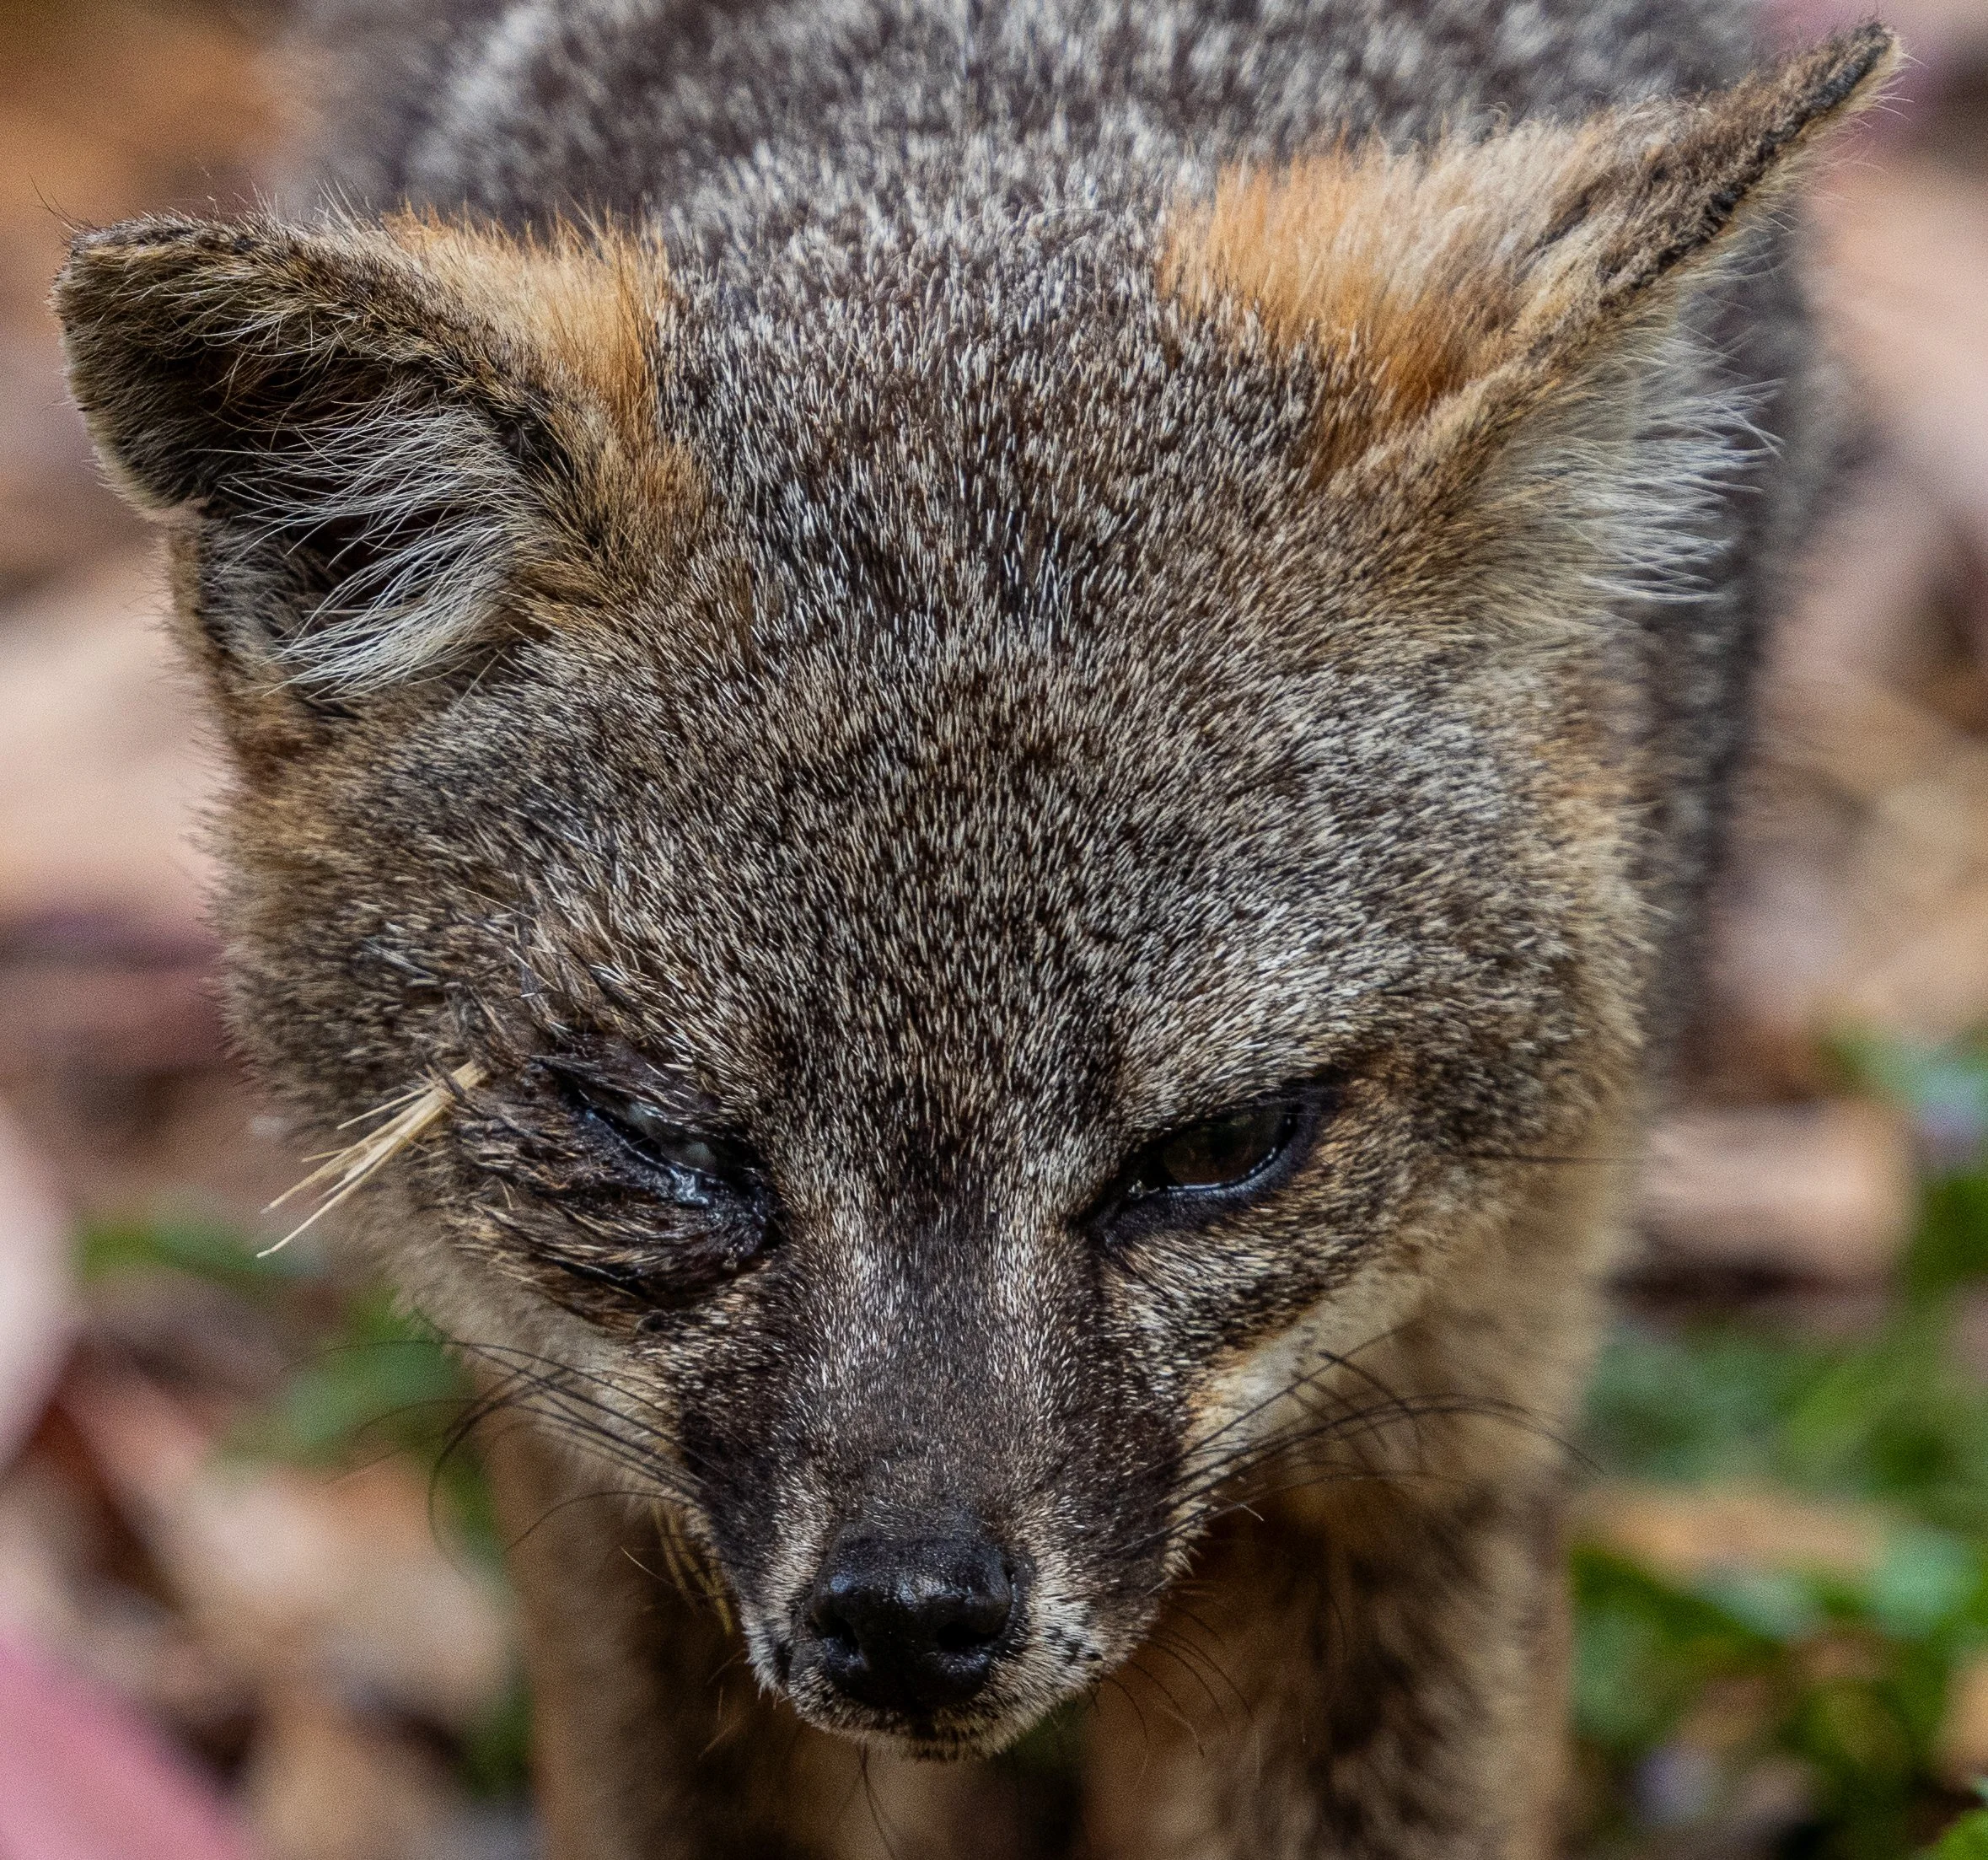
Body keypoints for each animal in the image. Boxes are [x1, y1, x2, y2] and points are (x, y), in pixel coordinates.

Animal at [53, 2, 1895, 1854]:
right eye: (655, 1134)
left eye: (1220, 1144)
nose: (910, 1614)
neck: (996, 114)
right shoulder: (600, 1487)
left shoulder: (1432, 1441)